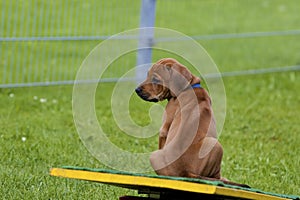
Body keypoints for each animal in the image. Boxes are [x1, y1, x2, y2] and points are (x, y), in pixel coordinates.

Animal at [136, 57, 248, 188]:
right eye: (147, 75)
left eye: (155, 79)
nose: (137, 90)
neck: (189, 86)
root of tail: (186, 172)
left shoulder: (164, 129)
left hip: (214, 145)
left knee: (216, 176)